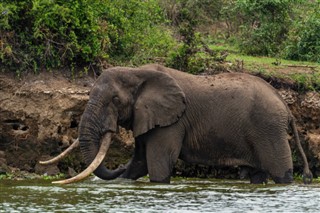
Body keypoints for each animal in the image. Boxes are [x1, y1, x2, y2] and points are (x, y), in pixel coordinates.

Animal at [50, 64, 312, 184]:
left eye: (115, 100)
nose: (118, 165)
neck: (137, 71)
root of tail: (285, 104)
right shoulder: (148, 117)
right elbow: (139, 163)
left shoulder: (172, 123)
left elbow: (158, 166)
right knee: (258, 175)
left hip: (269, 128)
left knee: (281, 173)